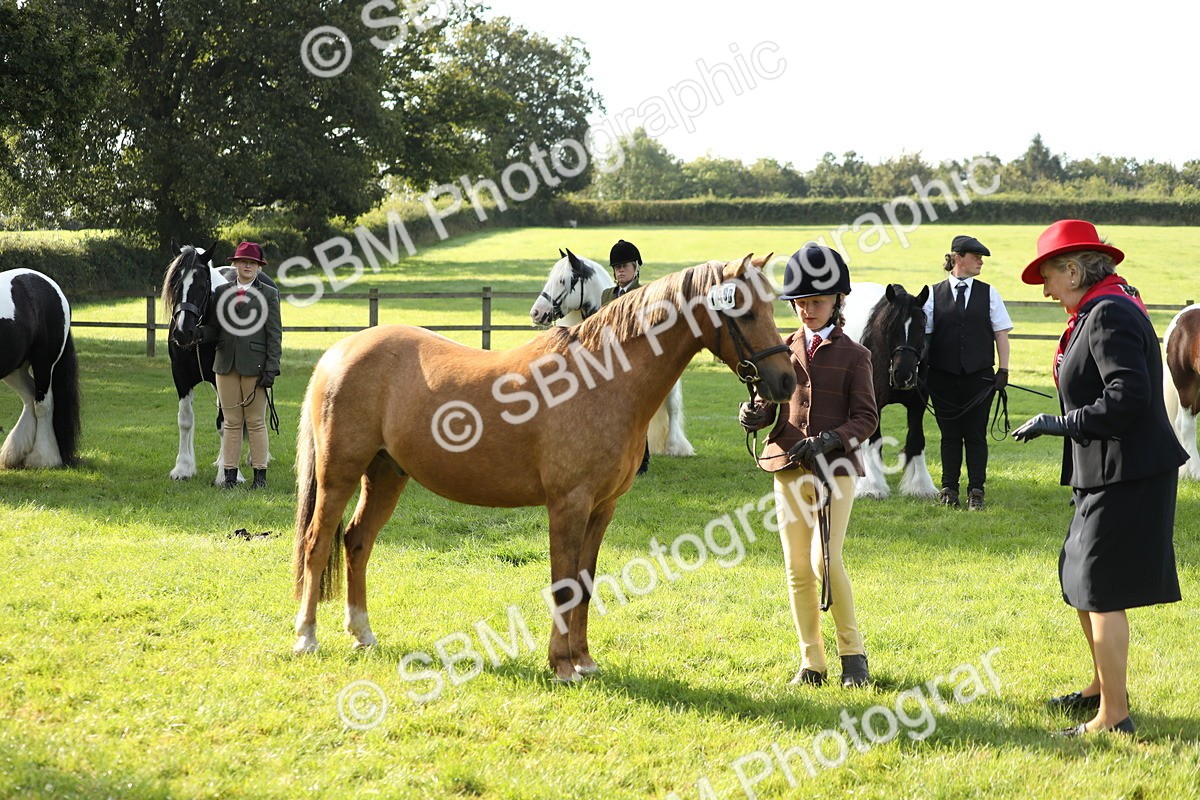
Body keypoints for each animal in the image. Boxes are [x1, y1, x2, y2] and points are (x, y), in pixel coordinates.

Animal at [0, 268, 81, 469]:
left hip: (44, 364)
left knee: (43, 405)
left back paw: (43, 458)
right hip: (15, 369)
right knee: (30, 397)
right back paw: (14, 453)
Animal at [848, 282, 937, 499]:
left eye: (922, 326)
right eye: (890, 326)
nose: (903, 374)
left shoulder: (918, 403)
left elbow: (916, 439)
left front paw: (920, 486)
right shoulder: (873, 403)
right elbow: (872, 442)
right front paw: (871, 486)